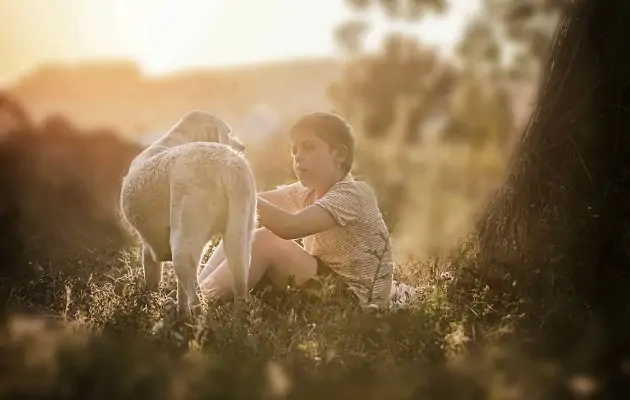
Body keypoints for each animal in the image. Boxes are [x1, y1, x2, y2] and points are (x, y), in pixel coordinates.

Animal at [118, 109, 256, 318]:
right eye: (228, 132)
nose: (243, 147)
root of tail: (228, 166)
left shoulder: (149, 249)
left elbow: (153, 281)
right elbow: (179, 288)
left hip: (182, 247)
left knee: (196, 300)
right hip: (239, 239)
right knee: (237, 286)